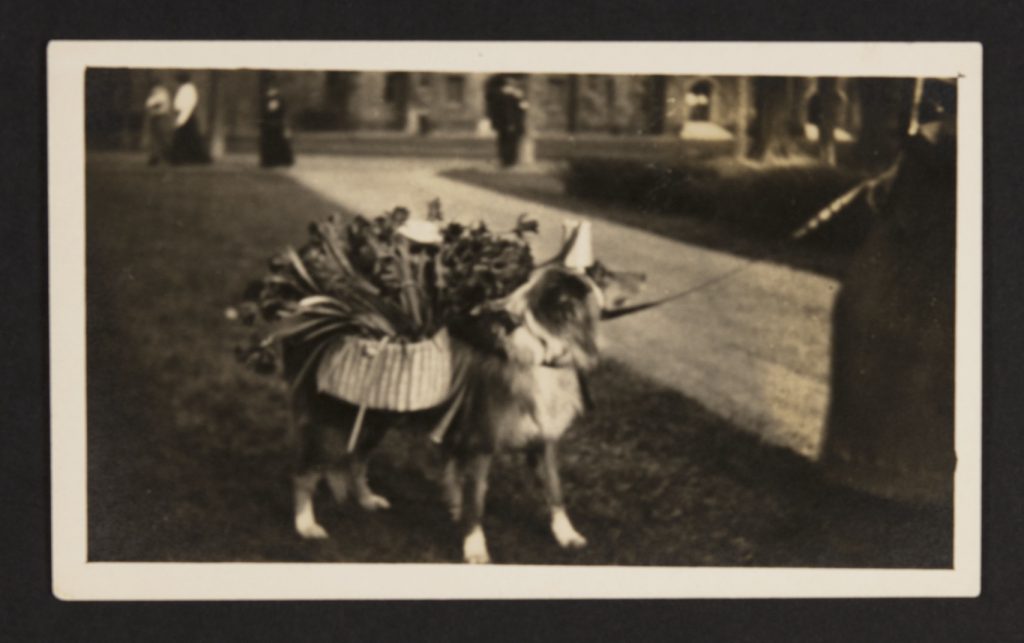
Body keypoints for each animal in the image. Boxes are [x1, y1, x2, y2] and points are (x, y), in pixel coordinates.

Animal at [288, 261, 638, 561]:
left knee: (357, 461)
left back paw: (366, 499)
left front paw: (567, 535)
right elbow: (475, 502)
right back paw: (306, 525)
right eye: (599, 277)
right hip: (336, 427)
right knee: (305, 473)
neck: (543, 351)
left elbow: (554, 491)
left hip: (372, 422)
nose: (640, 278)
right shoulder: (480, 445)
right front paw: (474, 548)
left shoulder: (543, 441)